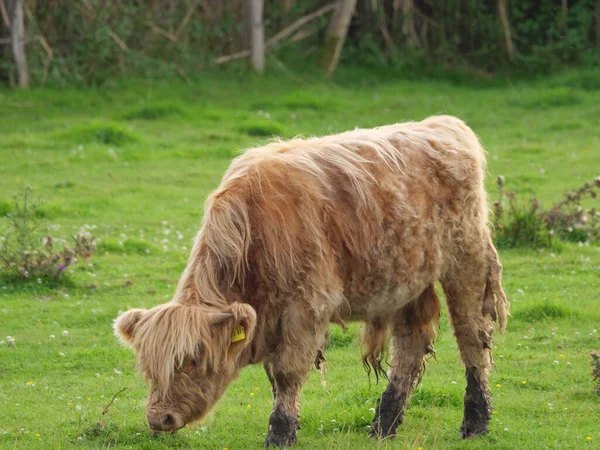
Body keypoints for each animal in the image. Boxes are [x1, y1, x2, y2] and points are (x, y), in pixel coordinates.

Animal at [112, 115, 506, 446]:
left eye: (193, 361)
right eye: (148, 367)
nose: (159, 418)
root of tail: (443, 123)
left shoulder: (307, 307)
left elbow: (286, 373)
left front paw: (279, 435)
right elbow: (275, 379)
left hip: (467, 261)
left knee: (472, 337)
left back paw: (475, 422)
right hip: (407, 281)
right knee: (409, 349)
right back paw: (384, 425)